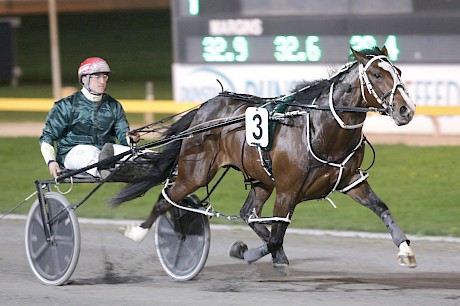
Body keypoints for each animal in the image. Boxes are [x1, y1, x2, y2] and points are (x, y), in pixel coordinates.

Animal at [110, 46, 416, 272]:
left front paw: (405, 250)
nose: (406, 109)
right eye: (376, 74)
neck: (320, 128)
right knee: (167, 198)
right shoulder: (288, 190)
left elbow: (381, 208)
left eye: (398, 71)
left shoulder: (351, 180)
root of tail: (205, 108)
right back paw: (138, 232)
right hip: (196, 172)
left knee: (248, 213)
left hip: (261, 179)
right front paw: (245, 252)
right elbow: (276, 235)